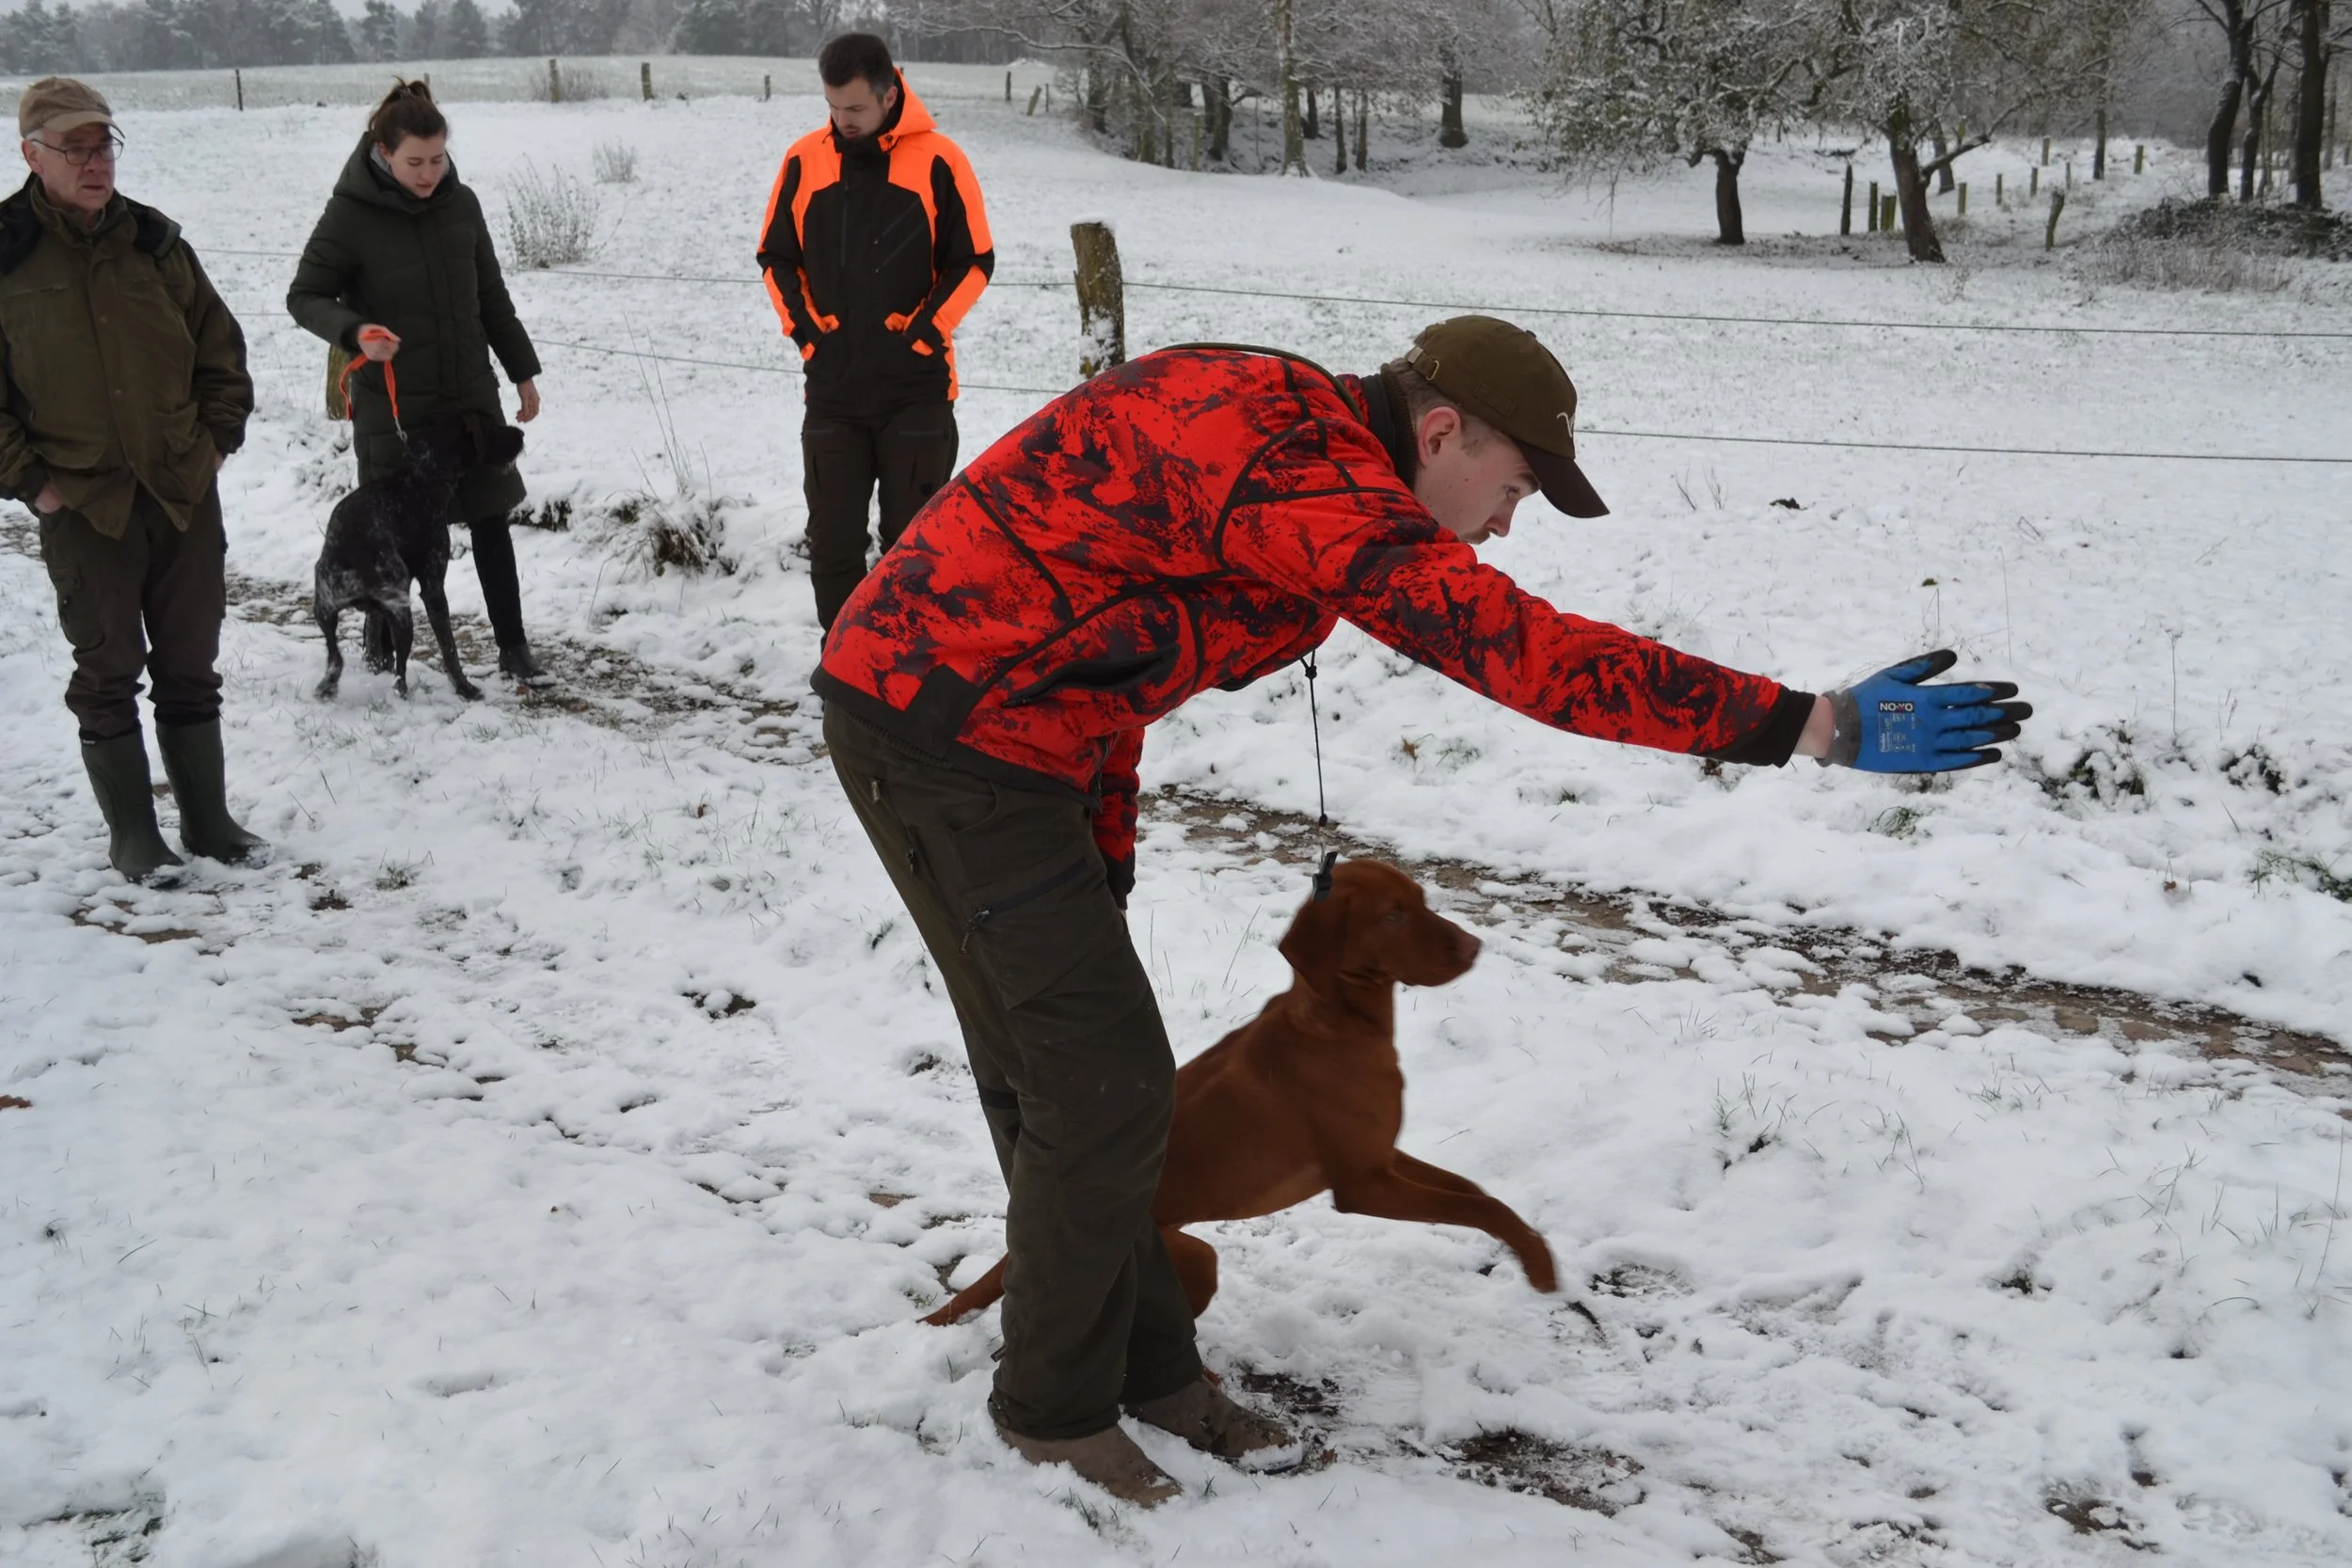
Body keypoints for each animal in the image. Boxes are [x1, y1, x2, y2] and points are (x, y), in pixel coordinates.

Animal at [313, 413, 524, 702]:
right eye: (492, 426)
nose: (521, 435)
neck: (424, 476)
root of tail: (350, 551)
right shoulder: (433, 588)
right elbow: (449, 649)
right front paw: (464, 688)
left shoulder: (377, 610)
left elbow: (372, 635)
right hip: (402, 614)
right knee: (399, 676)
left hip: (325, 610)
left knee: (336, 659)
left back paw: (328, 687)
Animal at [924, 858, 1558, 1326]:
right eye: (1393, 916)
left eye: (1421, 901)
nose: (1473, 948)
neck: (1335, 1021)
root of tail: (1022, 1248)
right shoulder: (1363, 1184)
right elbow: (1474, 1205)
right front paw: (1540, 1266)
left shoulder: (1382, 1155)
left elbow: (1480, 1193)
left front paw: (1532, 1250)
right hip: (1192, 1259)